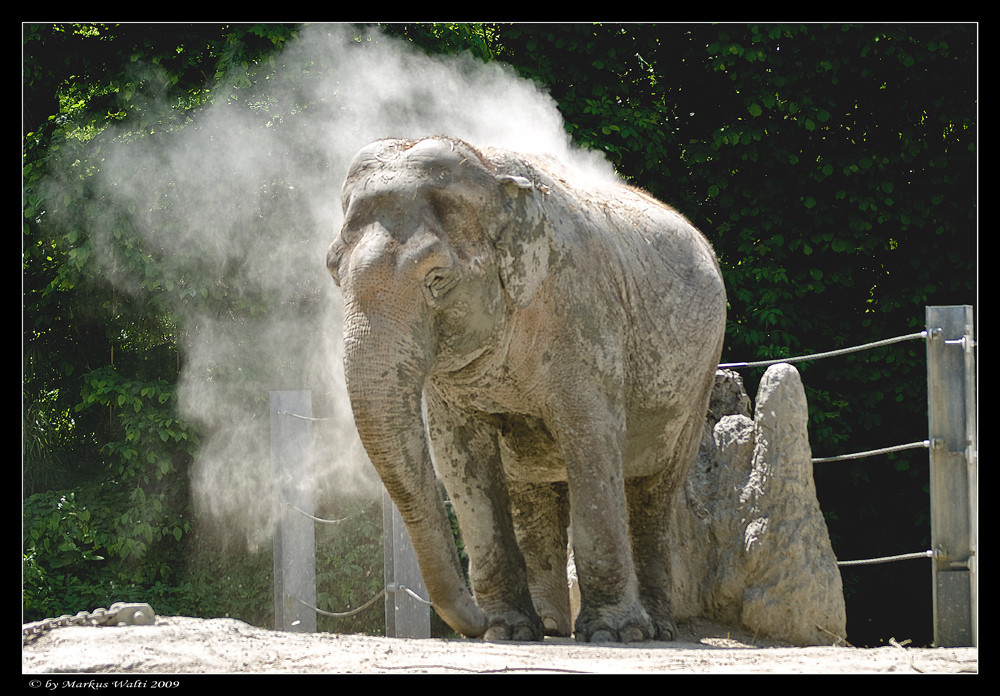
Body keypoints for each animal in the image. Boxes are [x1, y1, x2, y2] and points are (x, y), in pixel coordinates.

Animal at [328, 136, 728, 640]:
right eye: (332, 271)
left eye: (437, 278)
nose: (474, 622)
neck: (488, 168)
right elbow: (458, 457)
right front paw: (505, 630)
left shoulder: (584, 317)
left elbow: (592, 441)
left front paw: (612, 634)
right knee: (532, 493)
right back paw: (552, 628)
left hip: (700, 378)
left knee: (656, 491)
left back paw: (654, 630)